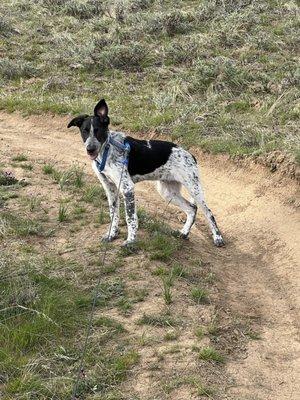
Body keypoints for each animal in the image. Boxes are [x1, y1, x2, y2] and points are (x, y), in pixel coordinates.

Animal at [67, 99, 224, 247]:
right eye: (85, 131)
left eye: (98, 130)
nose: (90, 149)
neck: (106, 150)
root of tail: (191, 155)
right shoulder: (109, 188)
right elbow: (113, 214)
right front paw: (112, 234)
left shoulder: (127, 188)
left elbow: (130, 218)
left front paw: (131, 241)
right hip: (168, 192)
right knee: (191, 209)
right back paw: (184, 232)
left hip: (194, 188)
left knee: (208, 213)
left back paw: (218, 238)